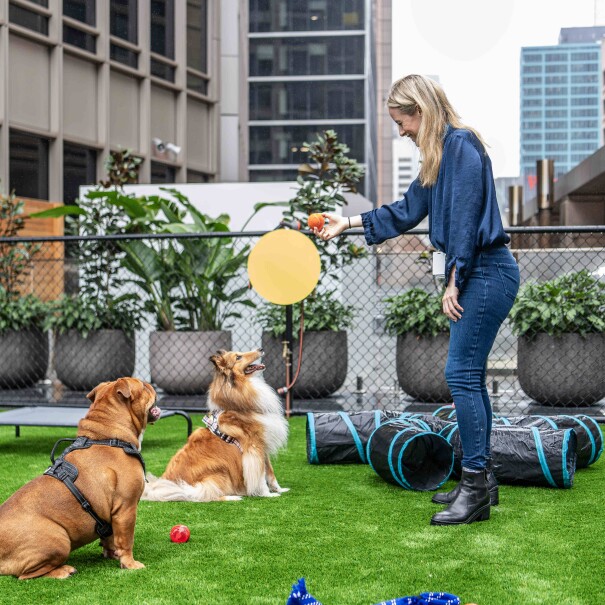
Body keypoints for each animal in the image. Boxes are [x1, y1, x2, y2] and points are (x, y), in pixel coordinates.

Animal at [0, 376, 160, 580]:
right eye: (144, 386)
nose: (151, 384)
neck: (107, 435)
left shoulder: (112, 513)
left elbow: (110, 538)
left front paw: (112, 554)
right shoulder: (126, 508)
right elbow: (126, 540)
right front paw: (130, 564)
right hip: (59, 539)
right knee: (26, 575)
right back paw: (64, 571)